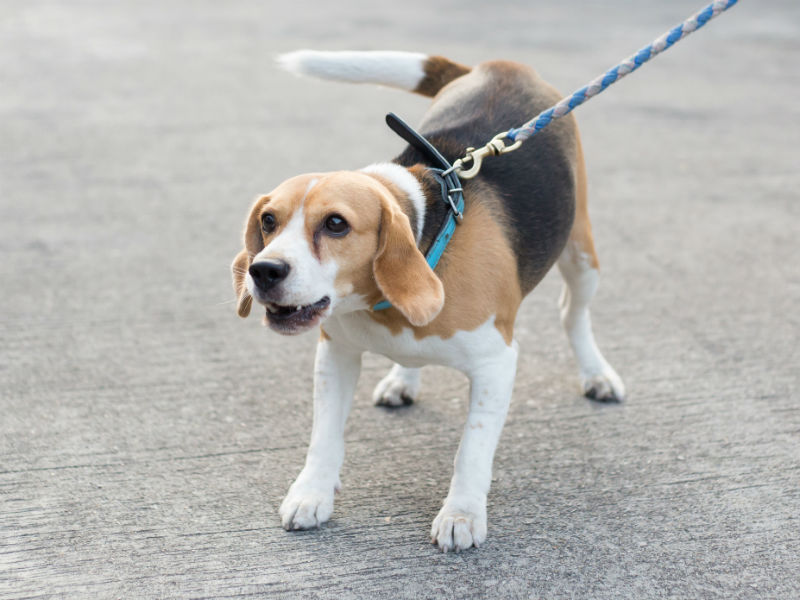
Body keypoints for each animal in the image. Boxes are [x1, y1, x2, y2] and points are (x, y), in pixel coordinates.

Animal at [231, 52, 624, 552]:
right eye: (268, 221)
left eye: (336, 224)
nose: (264, 271)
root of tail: (503, 65)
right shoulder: (336, 354)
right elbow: (324, 436)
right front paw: (311, 493)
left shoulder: (497, 364)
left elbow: (471, 451)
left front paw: (461, 514)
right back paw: (403, 378)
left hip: (581, 254)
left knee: (572, 314)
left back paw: (597, 375)